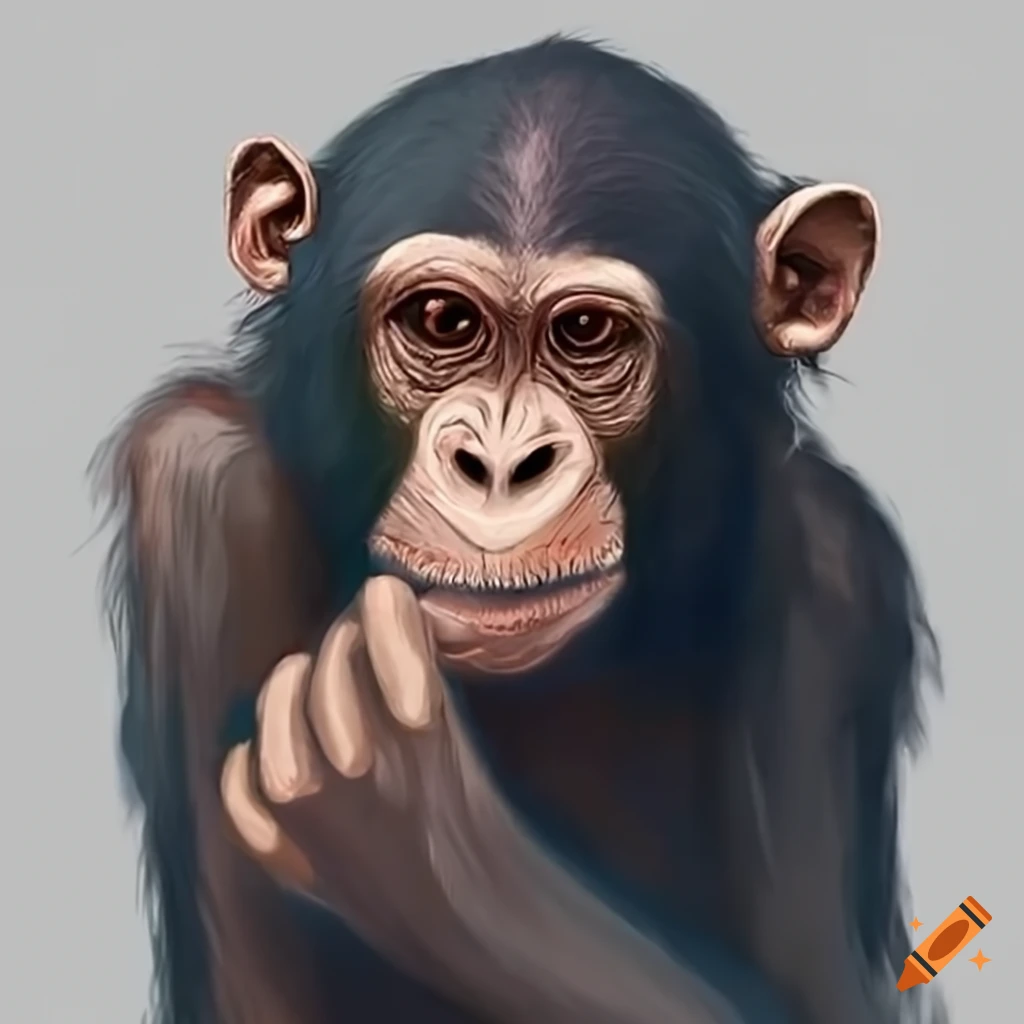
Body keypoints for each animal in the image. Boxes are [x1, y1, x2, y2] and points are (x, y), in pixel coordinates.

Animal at [92, 35, 942, 1024]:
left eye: (587, 334)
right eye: (443, 320)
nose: (500, 463)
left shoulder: (837, 570)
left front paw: (416, 819)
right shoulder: (196, 491)